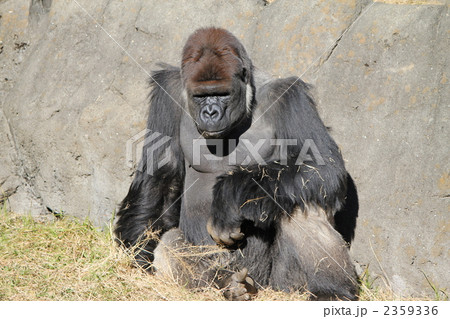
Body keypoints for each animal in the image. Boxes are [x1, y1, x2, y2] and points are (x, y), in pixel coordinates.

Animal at [115, 26, 358, 302]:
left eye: (222, 94)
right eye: (201, 96)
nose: (210, 113)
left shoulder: (288, 95)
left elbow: (322, 166)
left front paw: (229, 195)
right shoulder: (167, 90)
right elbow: (160, 179)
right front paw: (139, 255)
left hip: (277, 286)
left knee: (302, 200)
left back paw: (330, 291)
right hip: (219, 276)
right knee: (172, 242)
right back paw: (232, 287)